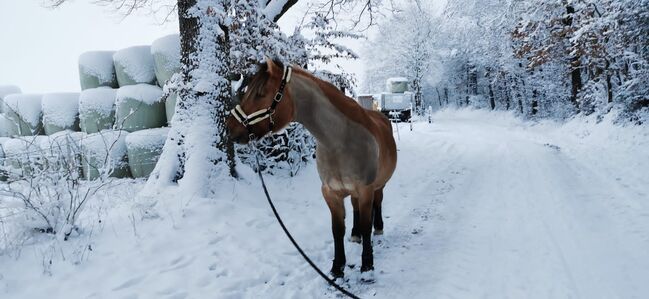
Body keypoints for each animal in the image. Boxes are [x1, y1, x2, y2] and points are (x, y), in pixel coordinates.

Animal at [228, 58, 400, 278]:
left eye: (260, 93)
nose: (230, 127)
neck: (340, 141)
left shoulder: (365, 189)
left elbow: (365, 224)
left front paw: (367, 265)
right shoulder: (330, 193)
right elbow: (337, 229)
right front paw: (337, 267)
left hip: (378, 185)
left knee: (378, 203)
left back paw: (378, 227)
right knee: (355, 208)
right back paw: (355, 235)